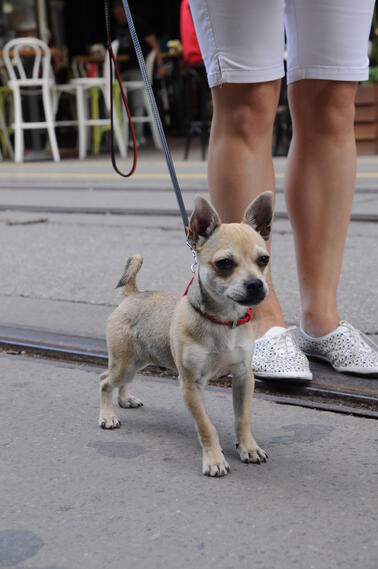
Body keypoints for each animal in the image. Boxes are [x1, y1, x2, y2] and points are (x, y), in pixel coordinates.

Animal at [99, 191, 274, 474]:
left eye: (264, 260)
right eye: (225, 263)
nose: (256, 284)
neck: (222, 321)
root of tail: (133, 293)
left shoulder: (243, 377)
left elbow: (242, 418)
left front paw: (248, 447)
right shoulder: (191, 385)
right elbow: (206, 426)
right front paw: (214, 460)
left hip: (138, 361)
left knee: (122, 382)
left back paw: (125, 400)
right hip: (123, 363)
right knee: (105, 381)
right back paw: (107, 416)